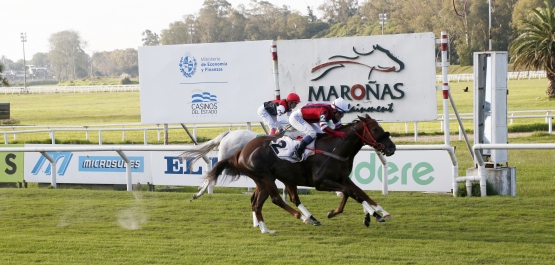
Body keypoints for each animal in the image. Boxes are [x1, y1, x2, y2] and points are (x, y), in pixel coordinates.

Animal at [198, 113, 398, 231]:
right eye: (375, 129)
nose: (392, 147)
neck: (335, 148)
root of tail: (242, 151)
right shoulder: (321, 183)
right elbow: (349, 193)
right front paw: (334, 212)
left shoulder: (342, 178)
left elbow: (359, 193)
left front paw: (377, 213)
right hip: (266, 178)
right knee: (276, 199)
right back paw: (303, 217)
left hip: (267, 180)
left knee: (258, 202)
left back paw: (265, 228)